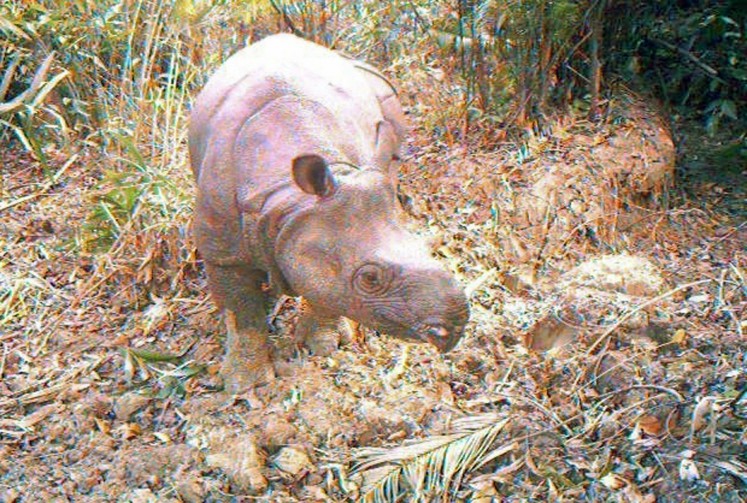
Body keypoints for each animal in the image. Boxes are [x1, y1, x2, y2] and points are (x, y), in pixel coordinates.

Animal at [188, 34, 468, 394]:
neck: (289, 200)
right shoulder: (223, 250)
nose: (452, 331)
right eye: (370, 279)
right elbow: (241, 311)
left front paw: (322, 346)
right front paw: (246, 384)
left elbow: (328, 289)